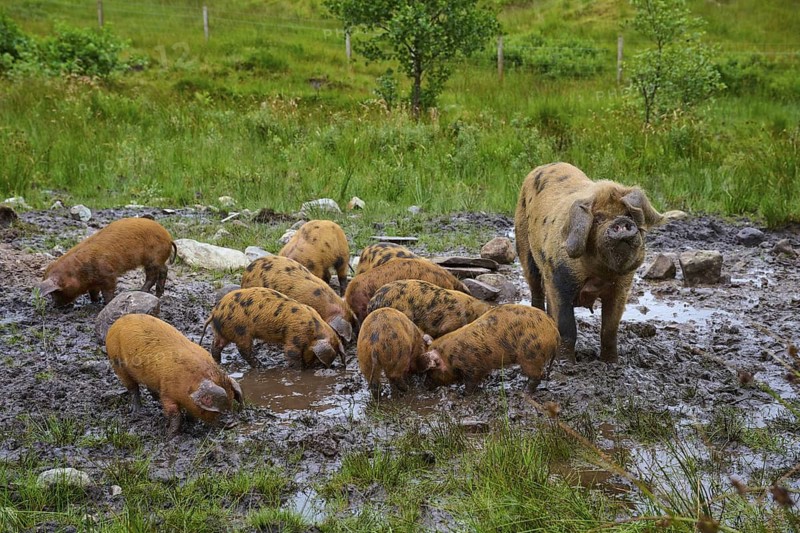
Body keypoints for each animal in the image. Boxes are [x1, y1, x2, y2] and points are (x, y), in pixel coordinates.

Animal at [36, 217, 176, 307]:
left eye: (55, 292)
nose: (55, 306)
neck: (79, 273)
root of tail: (169, 238)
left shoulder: (108, 273)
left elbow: (108, 290)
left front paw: (107, 303)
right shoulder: (93, 282)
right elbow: (93, 291)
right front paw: (95, 301)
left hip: (153, 259)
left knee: (153, 275)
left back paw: (141, 291)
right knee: (164, 270)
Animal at [105, 313, 243, 437]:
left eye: (231, 402)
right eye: (214, 407)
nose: (234, 423)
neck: (191, 382)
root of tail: (116, 323)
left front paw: (191, 424)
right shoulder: (168, 392)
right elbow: (175, 415)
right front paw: (170, 436)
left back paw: (155, 399)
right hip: (117, 363)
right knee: (133, 388)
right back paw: (137, 412)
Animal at [200, 287, 346, 369]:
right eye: (316, 356)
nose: (314, 367)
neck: (314, 328)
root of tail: (216, 312)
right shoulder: (294, 336)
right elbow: (291, 352)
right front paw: (299, 369)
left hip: (224, 332)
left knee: (216, 345)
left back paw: (218, 362)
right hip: (240, 330)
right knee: (244, 350)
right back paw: (261, 366)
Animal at [425, 304, 560, 393]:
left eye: (431, 371)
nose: (427, 386)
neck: (450, 355)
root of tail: (554, 331)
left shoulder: (472, 366)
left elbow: (470, 382)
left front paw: (464, 393)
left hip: (531, 355)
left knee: (538, 375)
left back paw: (524, 391)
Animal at [514, 162, 685, 363]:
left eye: (629, 215)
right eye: (598, 218)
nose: (621, 221)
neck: (600, 273)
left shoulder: (621, 288)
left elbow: (610, 329)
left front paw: (611, 362)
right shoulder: (560, 279)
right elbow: (567, 328)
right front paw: (567, 363)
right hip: (524, 246)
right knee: (536, 291)